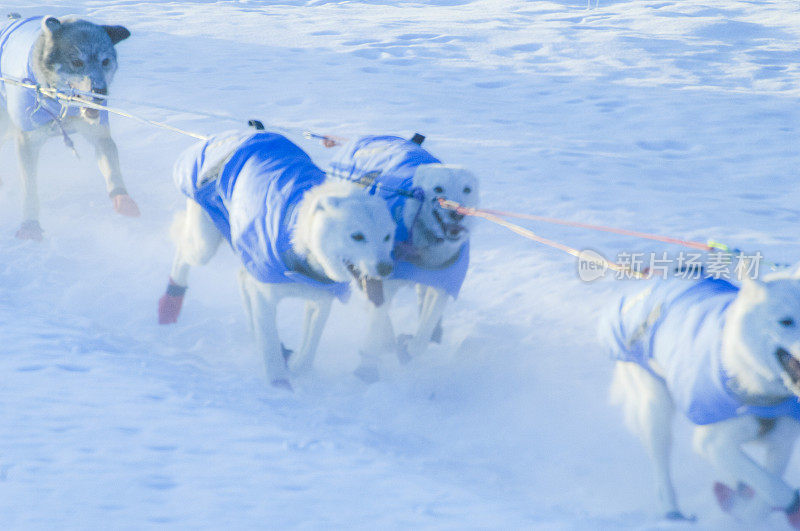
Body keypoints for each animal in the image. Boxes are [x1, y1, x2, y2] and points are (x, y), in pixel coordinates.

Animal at [0, 14, 138, 240]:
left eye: (105, 61)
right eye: (76, 62)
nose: (101, 91)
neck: (60, 104)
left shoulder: (100, 135)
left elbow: (112, 169)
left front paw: (122, 198)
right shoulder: (28, 142)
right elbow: (30, 189)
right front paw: (30, 224)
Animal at [158, 132, 396, 390]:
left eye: (387, 236)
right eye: (357, 236)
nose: (386, 268)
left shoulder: (321, 300)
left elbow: (309, 349)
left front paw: (297, 366)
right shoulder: (266, 296)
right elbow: (270, 342)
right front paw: (279, 382)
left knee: (242, 278)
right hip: (204, 244)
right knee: (183, 252)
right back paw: (170, 303)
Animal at [328, 133, 478, 382]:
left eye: (467, 189)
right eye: (438, 188)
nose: (456, 212)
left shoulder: (442, 284)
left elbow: (423, 334)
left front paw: (412, 345)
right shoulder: (381, 280)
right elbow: (378, 321)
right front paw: (369, 365)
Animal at [604, 274, 800, 528]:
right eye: (786, 322)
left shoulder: (782, 442)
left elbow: (765, 492)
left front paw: (747, 513)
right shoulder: (711, 442)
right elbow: (772, 487)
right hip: (655, 408)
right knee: (661, 462)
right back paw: (672, 510)